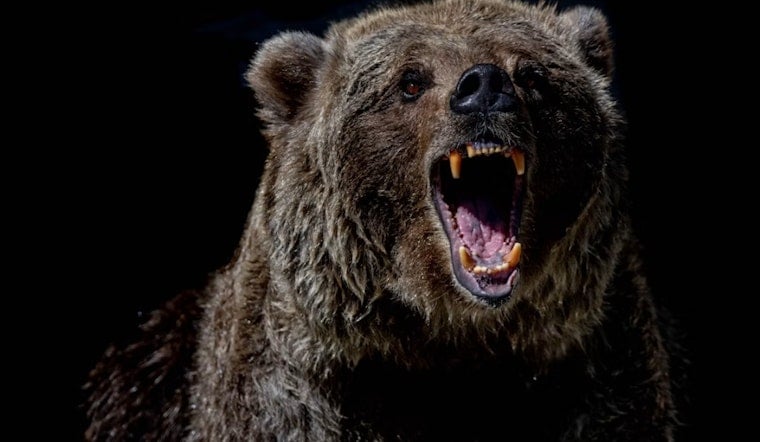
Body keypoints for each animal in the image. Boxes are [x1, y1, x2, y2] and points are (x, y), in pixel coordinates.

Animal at [83, 0, 684, 440]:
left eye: (533, 75)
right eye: (410, 81)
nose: (485, 87)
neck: (448, 337)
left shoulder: (594, 369)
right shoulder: (297, 392)